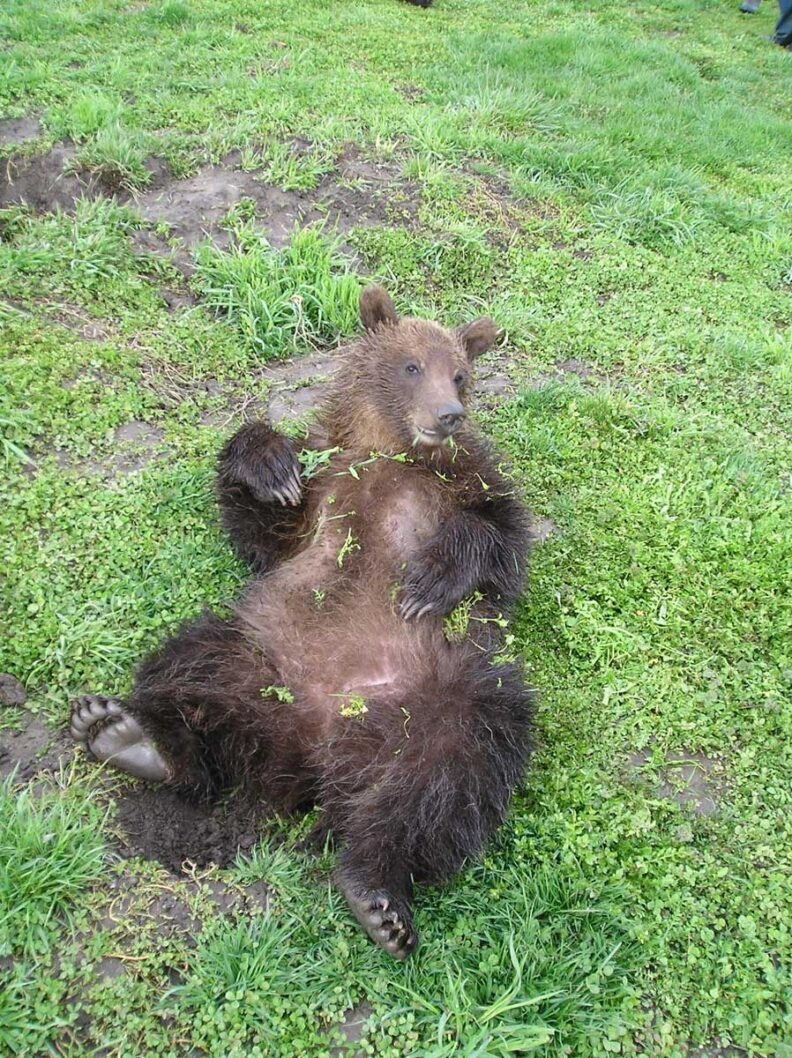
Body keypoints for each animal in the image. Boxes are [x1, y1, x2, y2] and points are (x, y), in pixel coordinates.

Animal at [70, 286, 535, 959]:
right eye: (411, 365)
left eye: (461, 375)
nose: (448, 413)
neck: (388, 447)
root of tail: (317, 746)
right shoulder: (324, 483)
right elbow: (262, 525)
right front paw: (268, 465)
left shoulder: (466, 478)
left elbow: (501, 535)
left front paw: (429, 579)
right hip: (264, 655)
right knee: (197, 660)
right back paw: (129, 736)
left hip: (438, 690)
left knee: (455, 760)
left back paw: (378, 893)